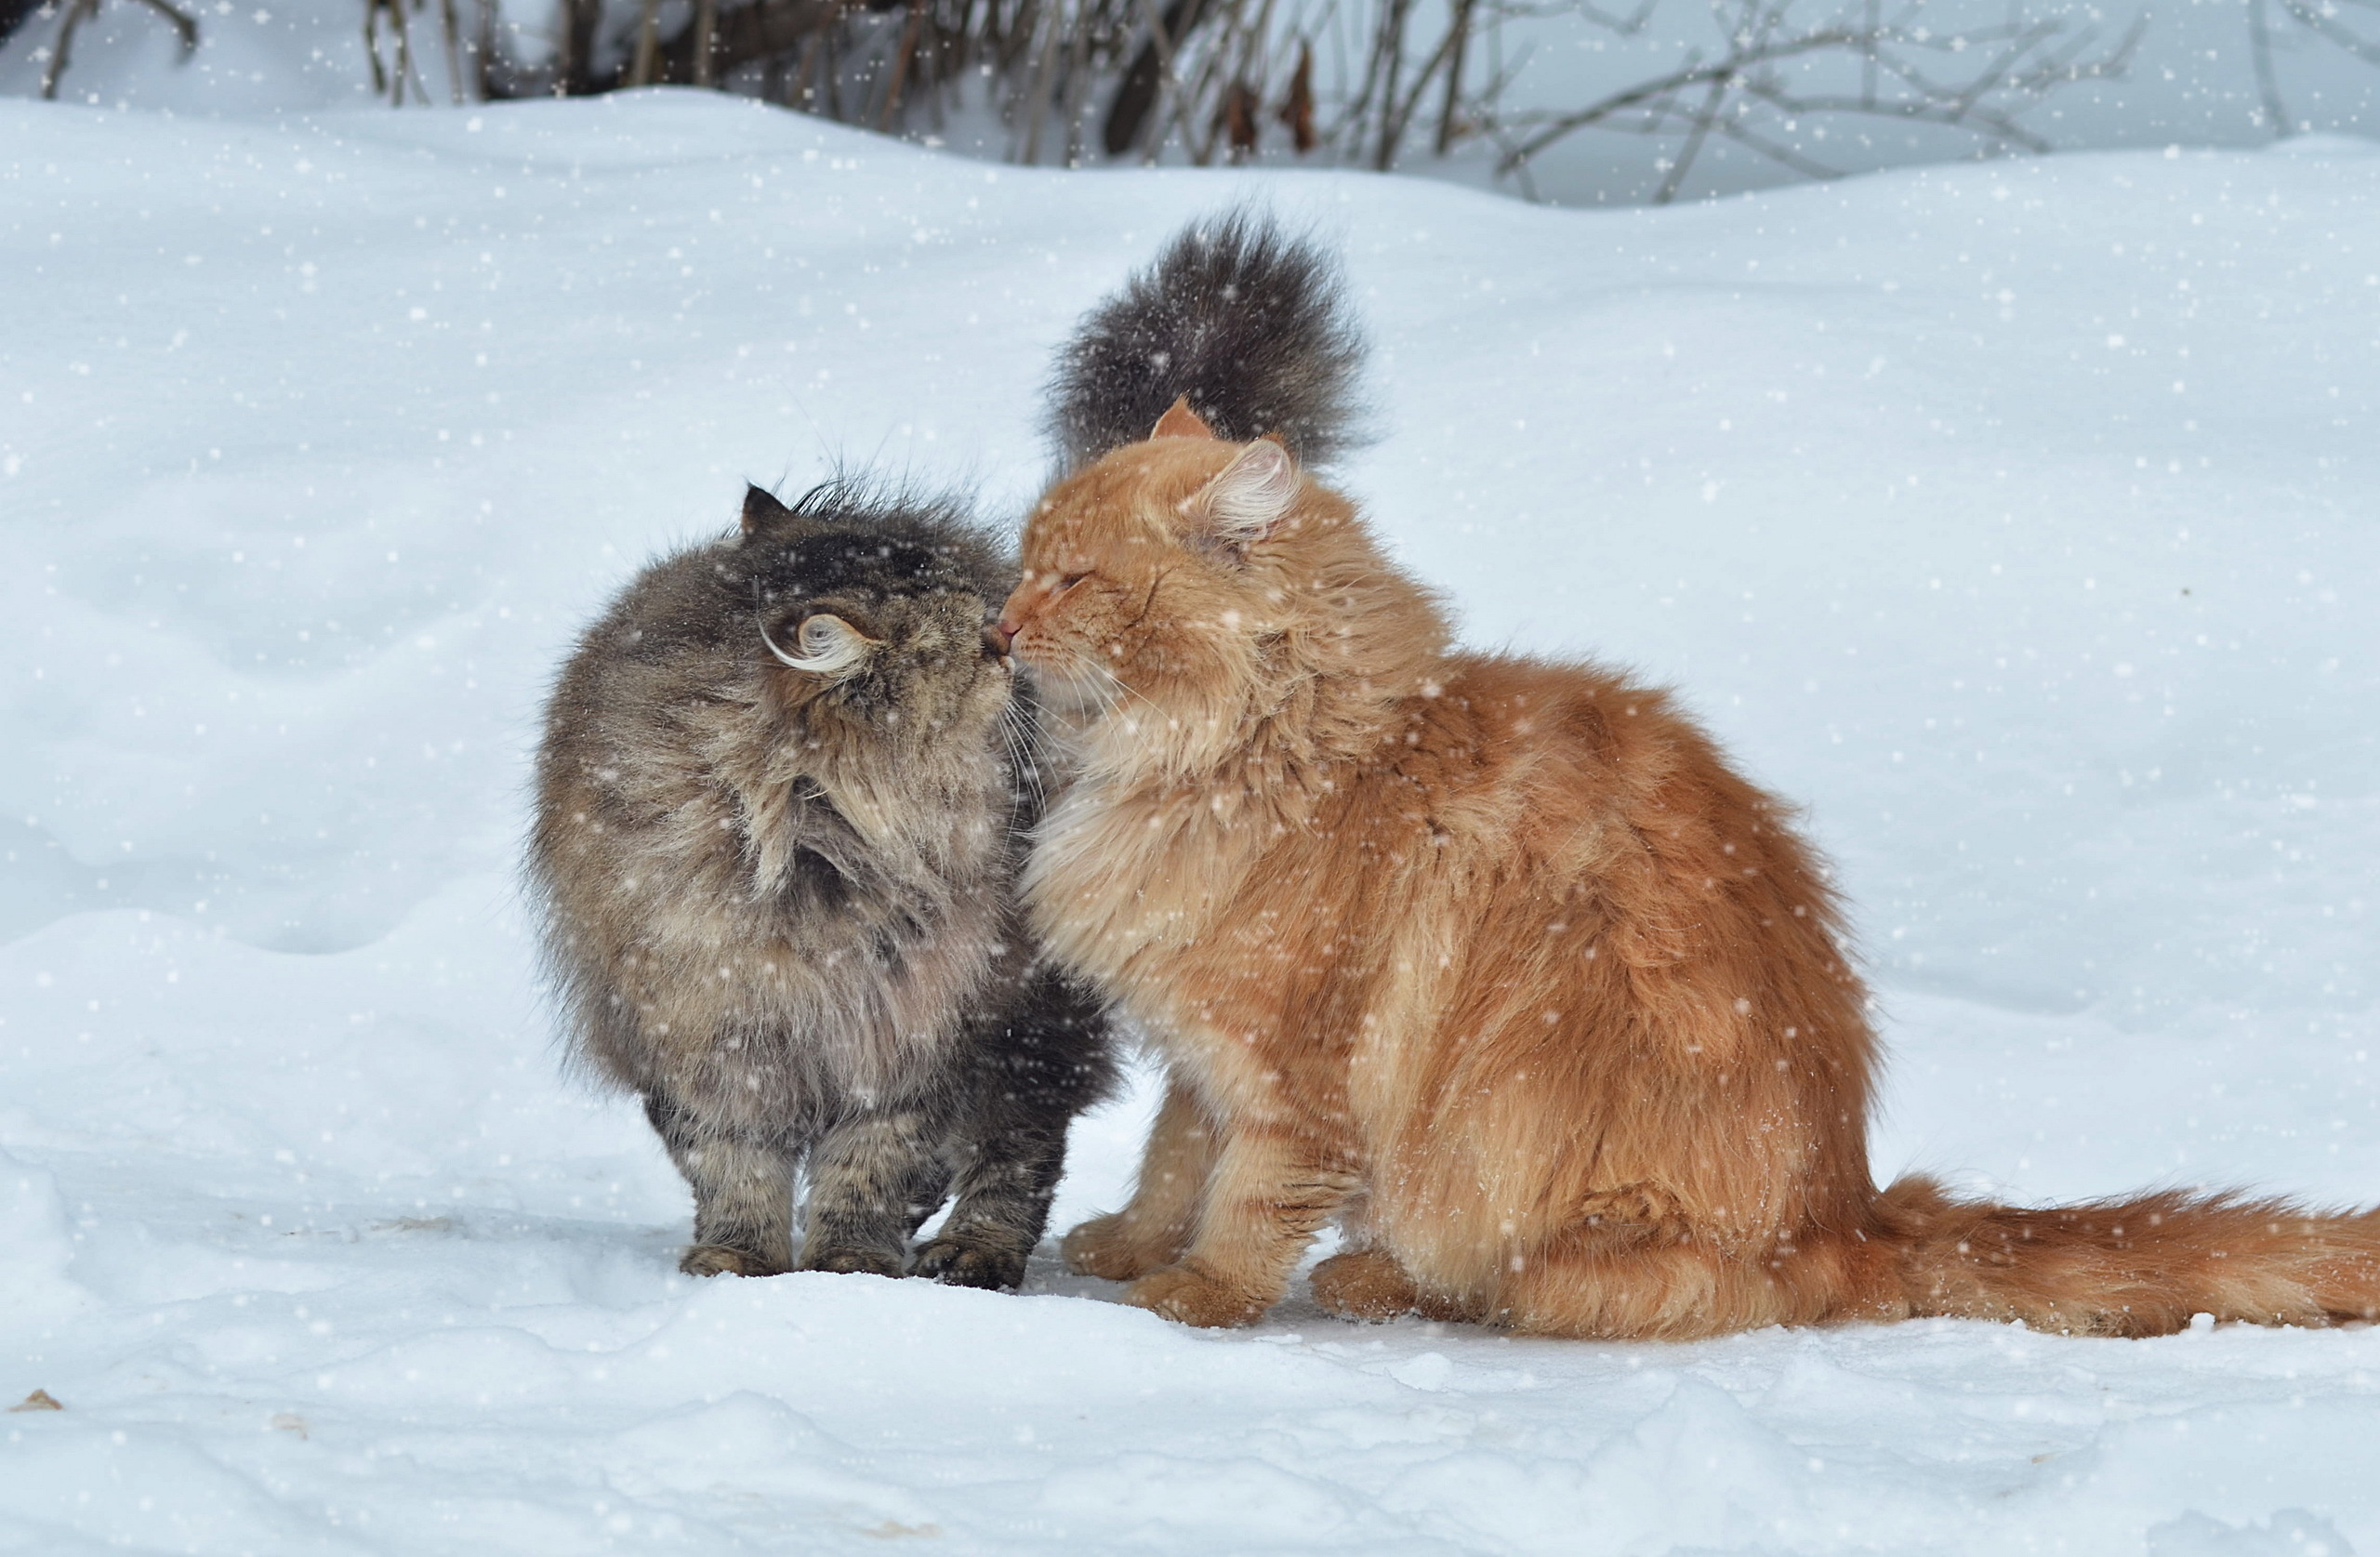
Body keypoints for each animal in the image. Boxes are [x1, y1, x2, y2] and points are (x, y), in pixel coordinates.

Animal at [530, 485, 1114, 1295]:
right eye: (977, 645)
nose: (1008, 636)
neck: (808, 858)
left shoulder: (910, 1032)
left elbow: (872, 1163)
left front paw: (849, 1264)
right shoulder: (700, 1028)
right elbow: (731, 1163)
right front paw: (738, 1259)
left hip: (1028, 1025)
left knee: (1018, 1144)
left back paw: (972, 1252)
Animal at [999, 217, 2380, 1342]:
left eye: (1072, 579)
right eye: (1019, 564)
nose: (1000, 633)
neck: (1253, 750)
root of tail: (1856, 1210)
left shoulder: (1291, 1061)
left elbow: (1245, 1200)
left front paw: (1192, 1296)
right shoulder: (1202, 1053)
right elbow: (1173, 1161)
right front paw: (1126, 1245)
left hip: (1526, 1173)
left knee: (1529, 1281)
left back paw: (1371, 1277)